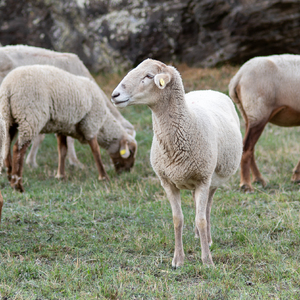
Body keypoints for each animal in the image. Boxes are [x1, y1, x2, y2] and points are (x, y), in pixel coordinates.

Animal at [0, 64, 112, 193]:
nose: (123, 171)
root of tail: (8, 87)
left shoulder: (62, 127)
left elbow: (62, 150)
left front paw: (61, 175)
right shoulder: (90, 125)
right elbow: (96, 150)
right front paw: (104, 176)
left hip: (8, 119)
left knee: (6, 146)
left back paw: (10, 175)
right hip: (30, 118)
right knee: (18, 149)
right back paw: (17, 184)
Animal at [111, 59, 243, 268]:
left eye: (149, 76)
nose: (114, 95)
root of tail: (207, 90)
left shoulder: (203, 179)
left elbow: (201, 220)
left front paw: (207, 261)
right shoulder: (167, 182)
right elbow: (177, 219)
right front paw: (178, 260)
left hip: (213, 178)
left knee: (206, 209)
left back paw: (207, 239)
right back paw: (198, 236)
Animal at [230, 54, 300, 192]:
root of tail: (238, 77)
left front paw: (296, 176)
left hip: (248, 115)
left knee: (249, 148)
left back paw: (258, 179)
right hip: (258, 114)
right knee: (247, 148)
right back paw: (246, 185)